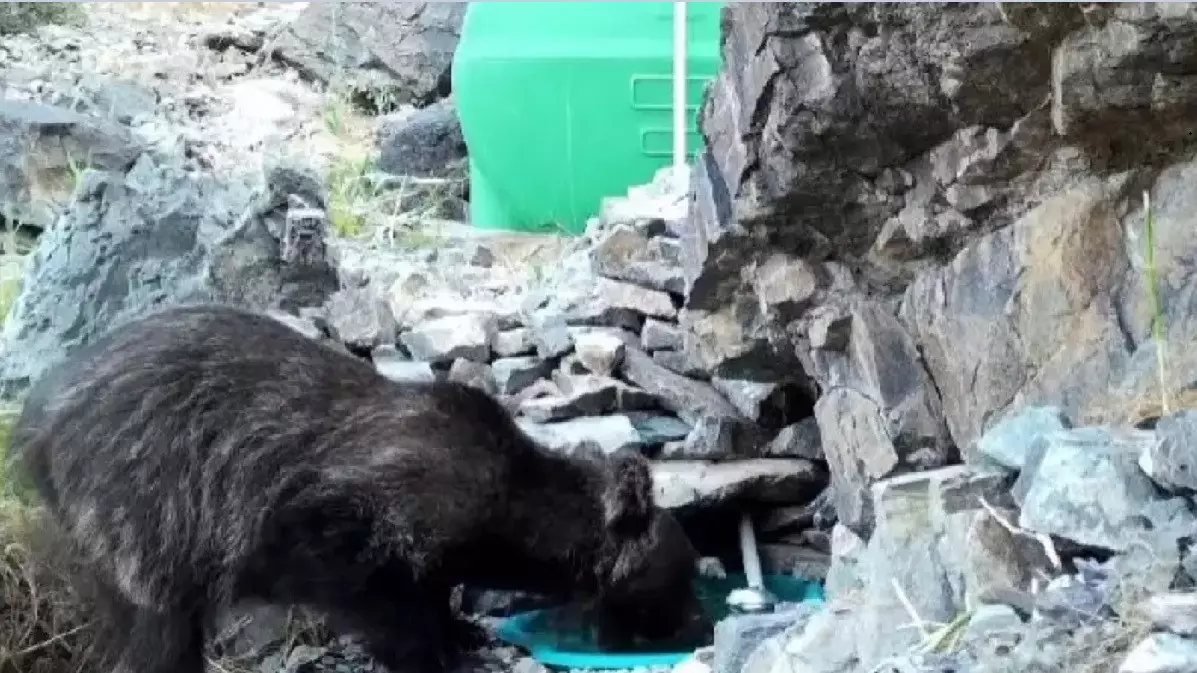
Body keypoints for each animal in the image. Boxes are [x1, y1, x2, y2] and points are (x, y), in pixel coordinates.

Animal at [11, 302, 708, 670]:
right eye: (681, 574)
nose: (694, 624)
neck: (514, 503)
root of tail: (36, 424)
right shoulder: (337, 525)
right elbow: (384, 604)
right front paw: (437, 649)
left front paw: (458, 632)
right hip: (145, 521)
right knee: (158, 633)